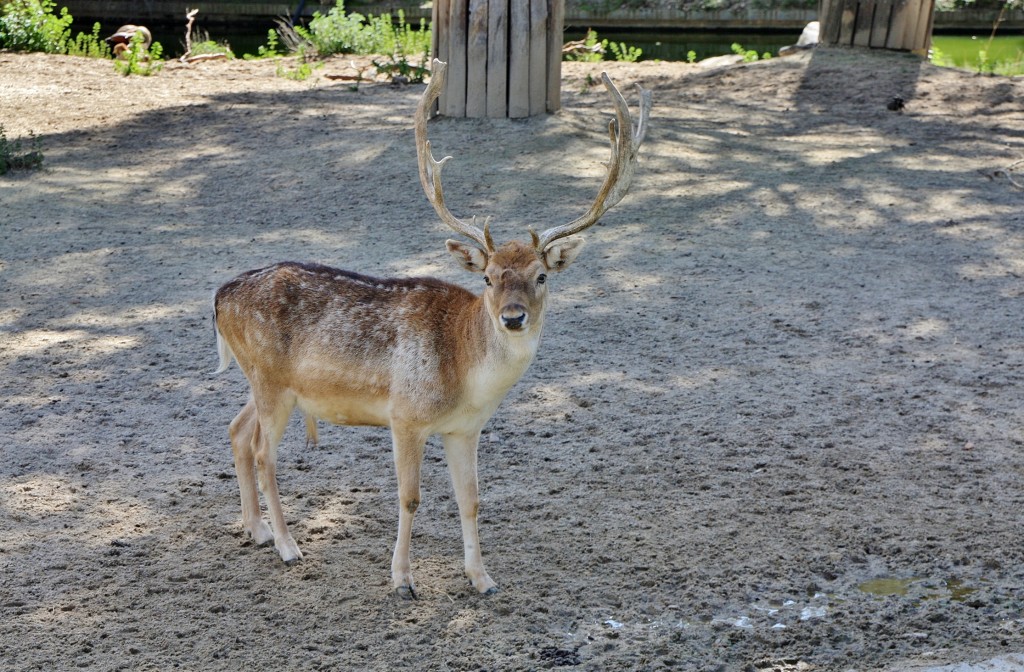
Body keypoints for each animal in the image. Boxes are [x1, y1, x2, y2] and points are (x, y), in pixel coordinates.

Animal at [211, 56, 651, 594]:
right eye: (487, 277)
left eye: (541, 275)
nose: (513, 317)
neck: (465, 377)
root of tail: (219, 297)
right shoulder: (405, 416)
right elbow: (410, 497)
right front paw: (402, 579)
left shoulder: (465, 430)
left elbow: (472, 499)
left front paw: (481, 578)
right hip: (272, 383)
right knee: (262, 451)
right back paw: (287, 546)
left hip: (266, 382)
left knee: (236, 430)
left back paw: (255, 530)